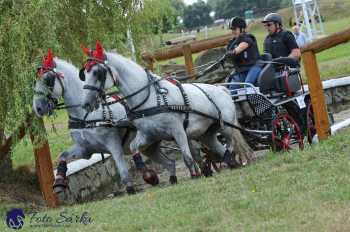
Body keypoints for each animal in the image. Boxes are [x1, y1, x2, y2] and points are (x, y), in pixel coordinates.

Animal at [31, 50, 176, 194]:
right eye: (35, 81)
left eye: (47, 79)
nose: (37, 108)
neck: (86, 115)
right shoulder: (84, 148)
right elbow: (63, 156)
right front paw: (59, 182)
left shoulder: (113, 144)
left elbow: (122, 170)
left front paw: (131, 187)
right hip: (150, 145)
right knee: (169, 162)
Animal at [80, 41, 245, 177]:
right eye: (84, 73)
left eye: (97, 72)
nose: (86, 103)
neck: (150, 97)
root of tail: (223, 89)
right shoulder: (147, 134)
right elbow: (134, 148)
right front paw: (148, 174)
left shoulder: (178, 130)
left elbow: (187, 158)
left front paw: (196, 175)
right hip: (206, 133)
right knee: (220, 148)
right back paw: (231, 164)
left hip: (226, 127)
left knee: (230, 145)